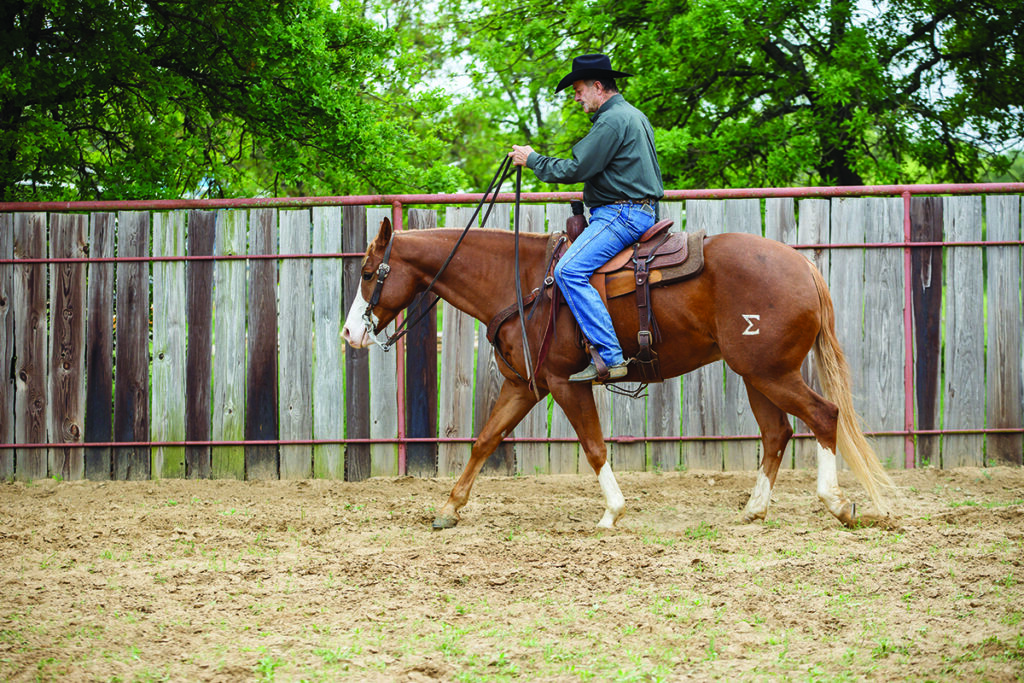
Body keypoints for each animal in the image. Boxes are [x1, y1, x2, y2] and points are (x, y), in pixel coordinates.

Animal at [339, 218, 892, 528]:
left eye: (368, 273)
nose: (350, 334)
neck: (521, 282)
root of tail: (804, 267)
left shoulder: (565, 384)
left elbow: (594, 446)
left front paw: (612, 511)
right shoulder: (523, 387)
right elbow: (484, 440)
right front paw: (450, 509)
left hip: (771, 372)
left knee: (824, 415)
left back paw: (837, 504)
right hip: (758, 375)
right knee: (777, 433)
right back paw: (754, 510)